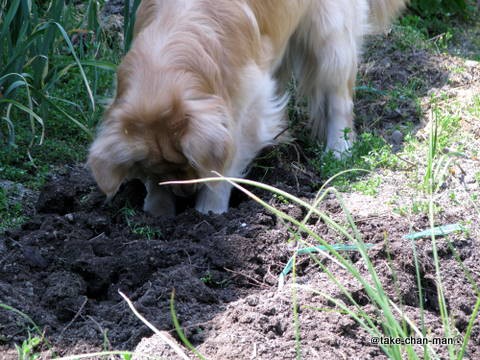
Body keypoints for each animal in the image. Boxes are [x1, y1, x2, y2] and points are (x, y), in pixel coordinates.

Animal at [87, 0, 404, 215]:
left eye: (188, 164)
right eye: (164, 168)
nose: (185, 192)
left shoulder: (249, 109)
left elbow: (222, 167)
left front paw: (209, 211)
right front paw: (157, 211)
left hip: (330, 37)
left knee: (339, 97)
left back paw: (339, 149)